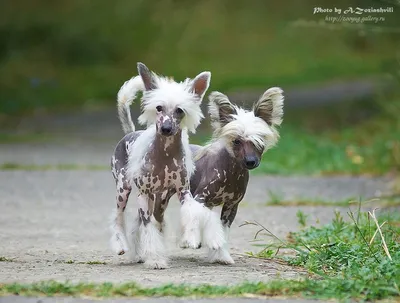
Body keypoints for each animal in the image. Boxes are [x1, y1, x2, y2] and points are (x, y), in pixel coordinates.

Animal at [109, 63, 225, 270]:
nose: (166, 129)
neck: (165, 155)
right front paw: (155, 259)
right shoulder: (143, 195)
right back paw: (122, 246)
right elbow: (148, 227)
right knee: (119, 216)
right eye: (159, 108)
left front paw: (191, 239)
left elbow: (192, 212)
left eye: (180, 110)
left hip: (158, 198)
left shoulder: (183, 191)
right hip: (124, 189)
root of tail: (130, 133)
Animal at [188, 87, 284, 264]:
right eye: (237, 141)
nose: (251, 161)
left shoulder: (231, 206)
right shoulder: (200, 198)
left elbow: (223, 230)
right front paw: (195, 241)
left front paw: (221, 255)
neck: (231, 175)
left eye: (259, 140)